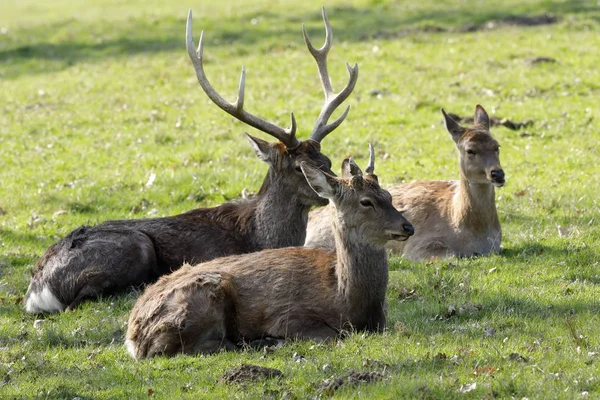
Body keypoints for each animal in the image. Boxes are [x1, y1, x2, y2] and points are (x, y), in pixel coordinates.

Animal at [23, 6, 358, 312]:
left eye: (327, 160)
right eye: (300, 167)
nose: (332, 189)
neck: (258, 235)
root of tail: (37, 291)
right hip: (137, 246)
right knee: (81, 299)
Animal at [125, 145, 418, 358]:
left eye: (389, 195)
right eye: (366, 202)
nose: (408, 226)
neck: (347, 299)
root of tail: (132, 337)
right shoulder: (288, 315)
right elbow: (333, 335)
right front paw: (272, 338)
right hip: (201, 297)